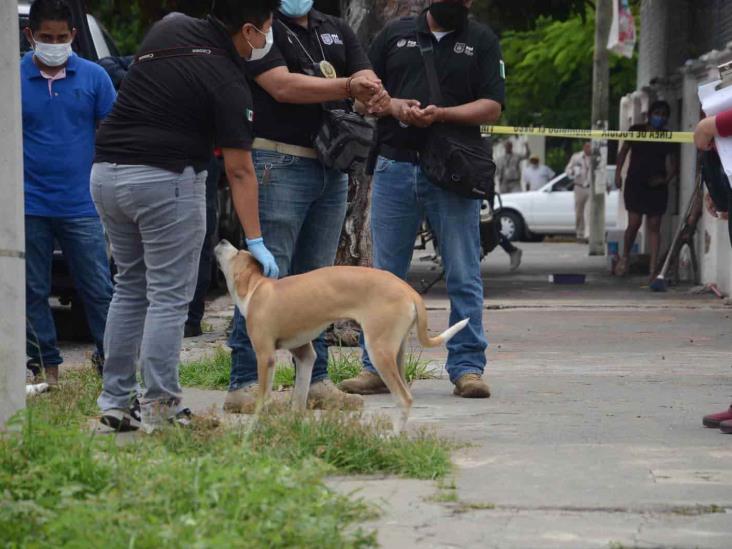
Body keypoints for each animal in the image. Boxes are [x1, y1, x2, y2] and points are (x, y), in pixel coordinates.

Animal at [214, 240, 468, 428]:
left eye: (238, 252)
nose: (223, 240)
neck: (257, 287)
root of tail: (408, 289)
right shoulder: (304, 355)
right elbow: (299, 397)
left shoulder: (265, 356)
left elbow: (262, 399)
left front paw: (253, 429)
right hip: (398, 352)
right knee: (405, 395)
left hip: (379, 351)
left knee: (404, 398)